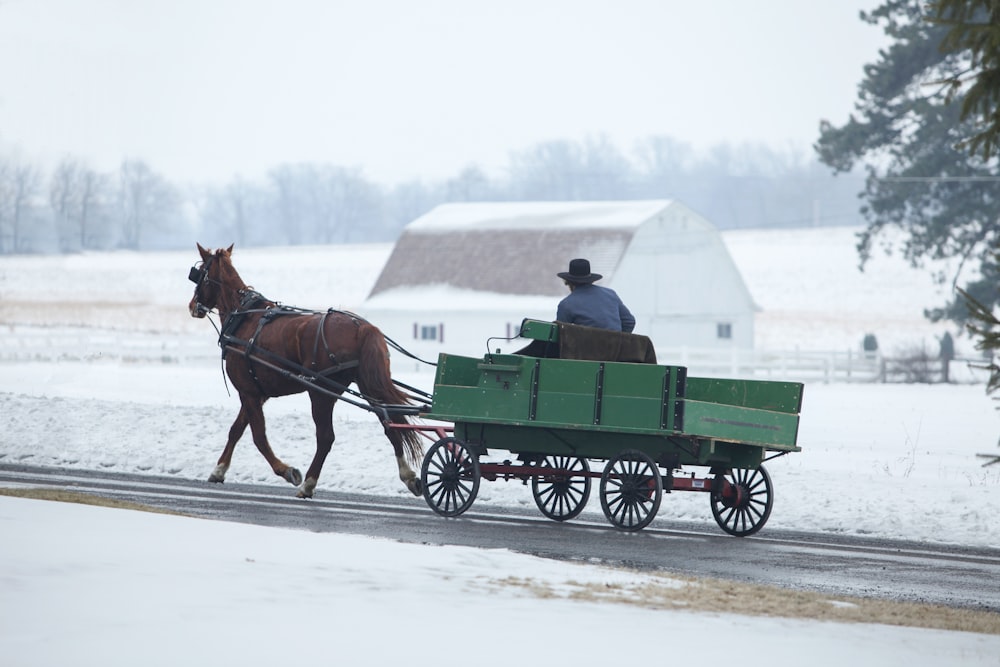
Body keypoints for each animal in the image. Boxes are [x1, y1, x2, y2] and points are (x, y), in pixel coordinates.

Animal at [189, 243, 424, 498]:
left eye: (199, 273)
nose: (192, 307)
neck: (244, 318)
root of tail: (363, 327)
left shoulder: (248, 392)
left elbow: (258, 436)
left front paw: (287, 470)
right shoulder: (257, 393)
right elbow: (236, 430)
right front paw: (219, 470)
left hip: (320, 392)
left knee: (326, 437)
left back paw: (308, 484)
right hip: (368, 385)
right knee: (390, 425)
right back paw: (408, 476)